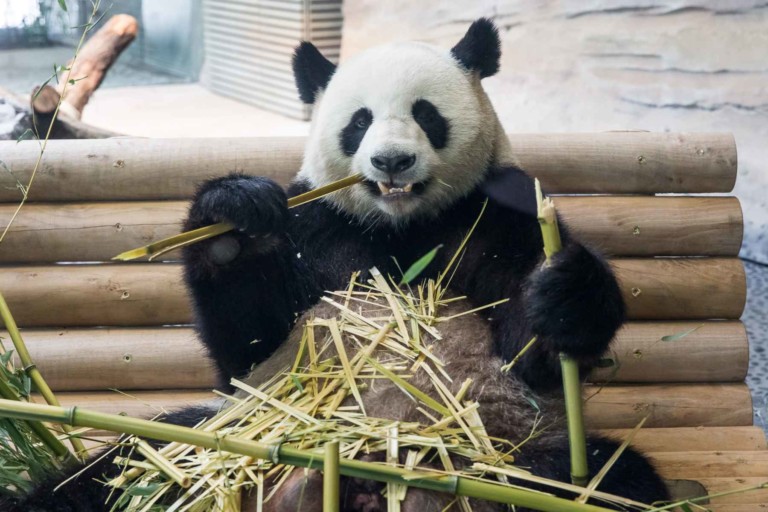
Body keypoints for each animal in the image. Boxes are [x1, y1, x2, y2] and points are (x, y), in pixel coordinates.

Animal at [13, 18, 672, 510]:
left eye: (426, 114)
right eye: (359, 121)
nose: (391, 161)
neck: (402, 226)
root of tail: (359, 474)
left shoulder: (498, 213)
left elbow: (528, 353)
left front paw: (564, 293)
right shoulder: (316, 224)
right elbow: (249, 346)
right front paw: (236, 222)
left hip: (510, 455)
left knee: (612, 482)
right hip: (205, 443)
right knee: (110, 474)